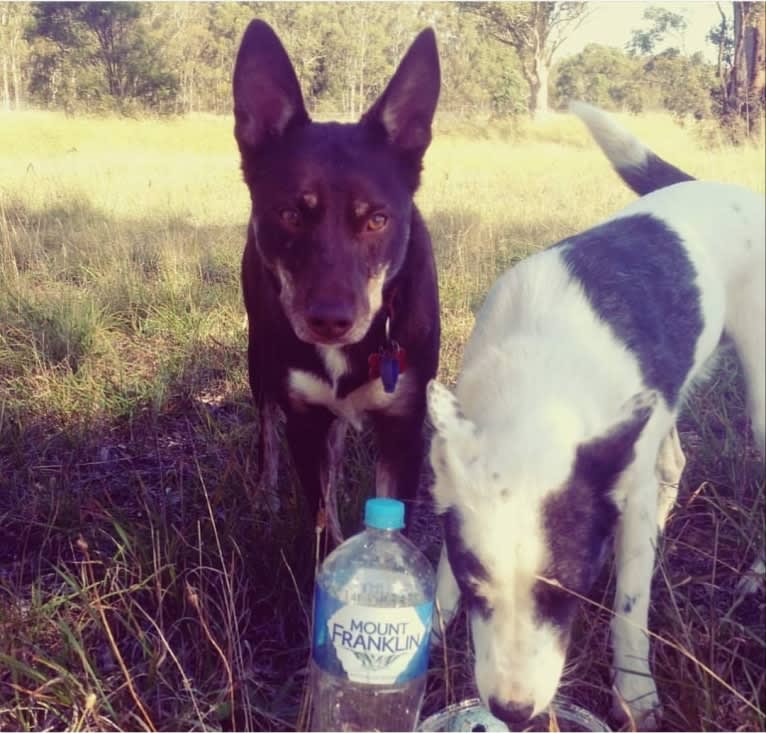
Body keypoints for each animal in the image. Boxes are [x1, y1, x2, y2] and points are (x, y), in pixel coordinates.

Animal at [428, 103, 764, 728]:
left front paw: (635, 691)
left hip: (759, 403)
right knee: (670, 463)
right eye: (476, 587)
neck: (539, 389)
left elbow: (630, 606)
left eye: (568, 592)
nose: (512, 711)